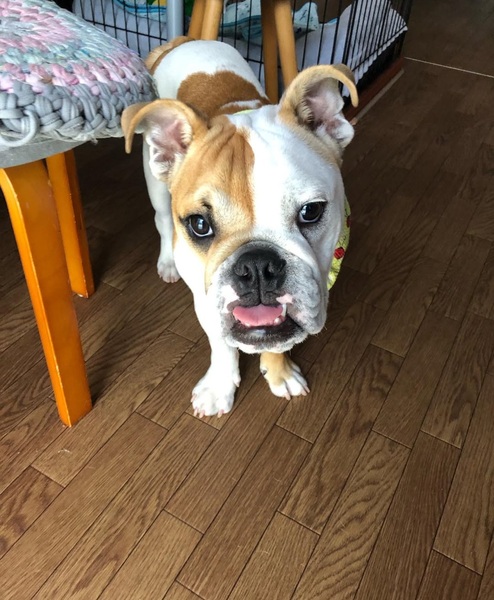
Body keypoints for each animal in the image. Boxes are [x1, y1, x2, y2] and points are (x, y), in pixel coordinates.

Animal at [122, 37, 358, 417]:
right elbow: (221, 346)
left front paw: (279, 373)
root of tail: (185, 41)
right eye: (199, 225)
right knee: (162, 222)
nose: (257, 266)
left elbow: (277, 341)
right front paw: (219, 387)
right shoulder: (206, 301)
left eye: (310, 212)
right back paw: (168, 263)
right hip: (156, 183)